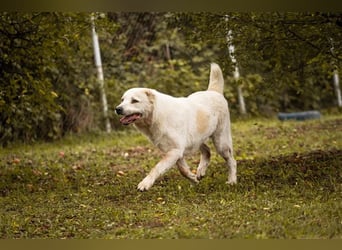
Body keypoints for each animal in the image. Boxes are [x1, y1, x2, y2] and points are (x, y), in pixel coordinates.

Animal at [116, 63, 236, 191]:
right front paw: (193, 179)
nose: (118, 109)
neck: (156, 115)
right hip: (196, 140)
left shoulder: (175, 151)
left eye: (134, 101)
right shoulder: (176, 151)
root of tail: (214, 92)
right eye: (122, 100)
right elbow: (183, 170)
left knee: (232, 161)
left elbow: (157, 167)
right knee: (207, 151)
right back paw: (200, 172)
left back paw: (232, 181)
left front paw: (145, 183)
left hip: (221, 143)